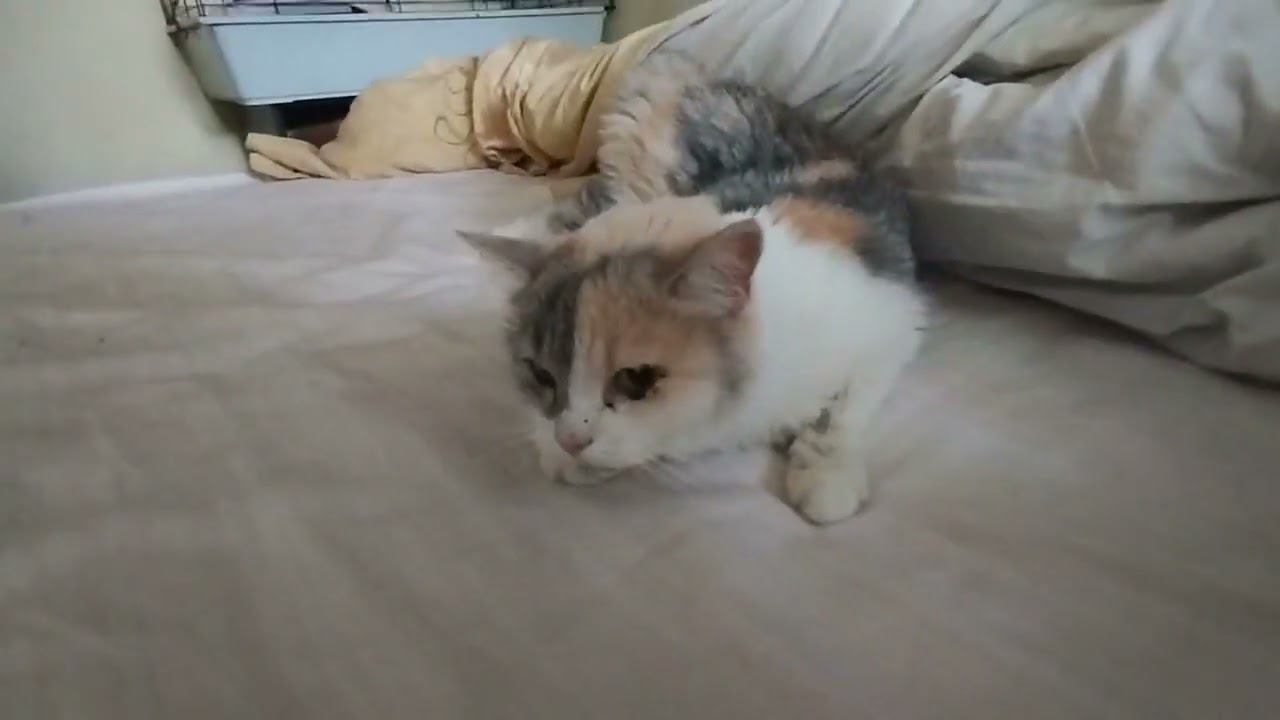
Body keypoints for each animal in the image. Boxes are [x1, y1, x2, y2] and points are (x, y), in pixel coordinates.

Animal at [460, 54, 924, 524]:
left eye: (636, 379)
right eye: (541, 373)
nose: (570, 440)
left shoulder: (895, 322)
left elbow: (845, 411)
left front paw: (826, 477)